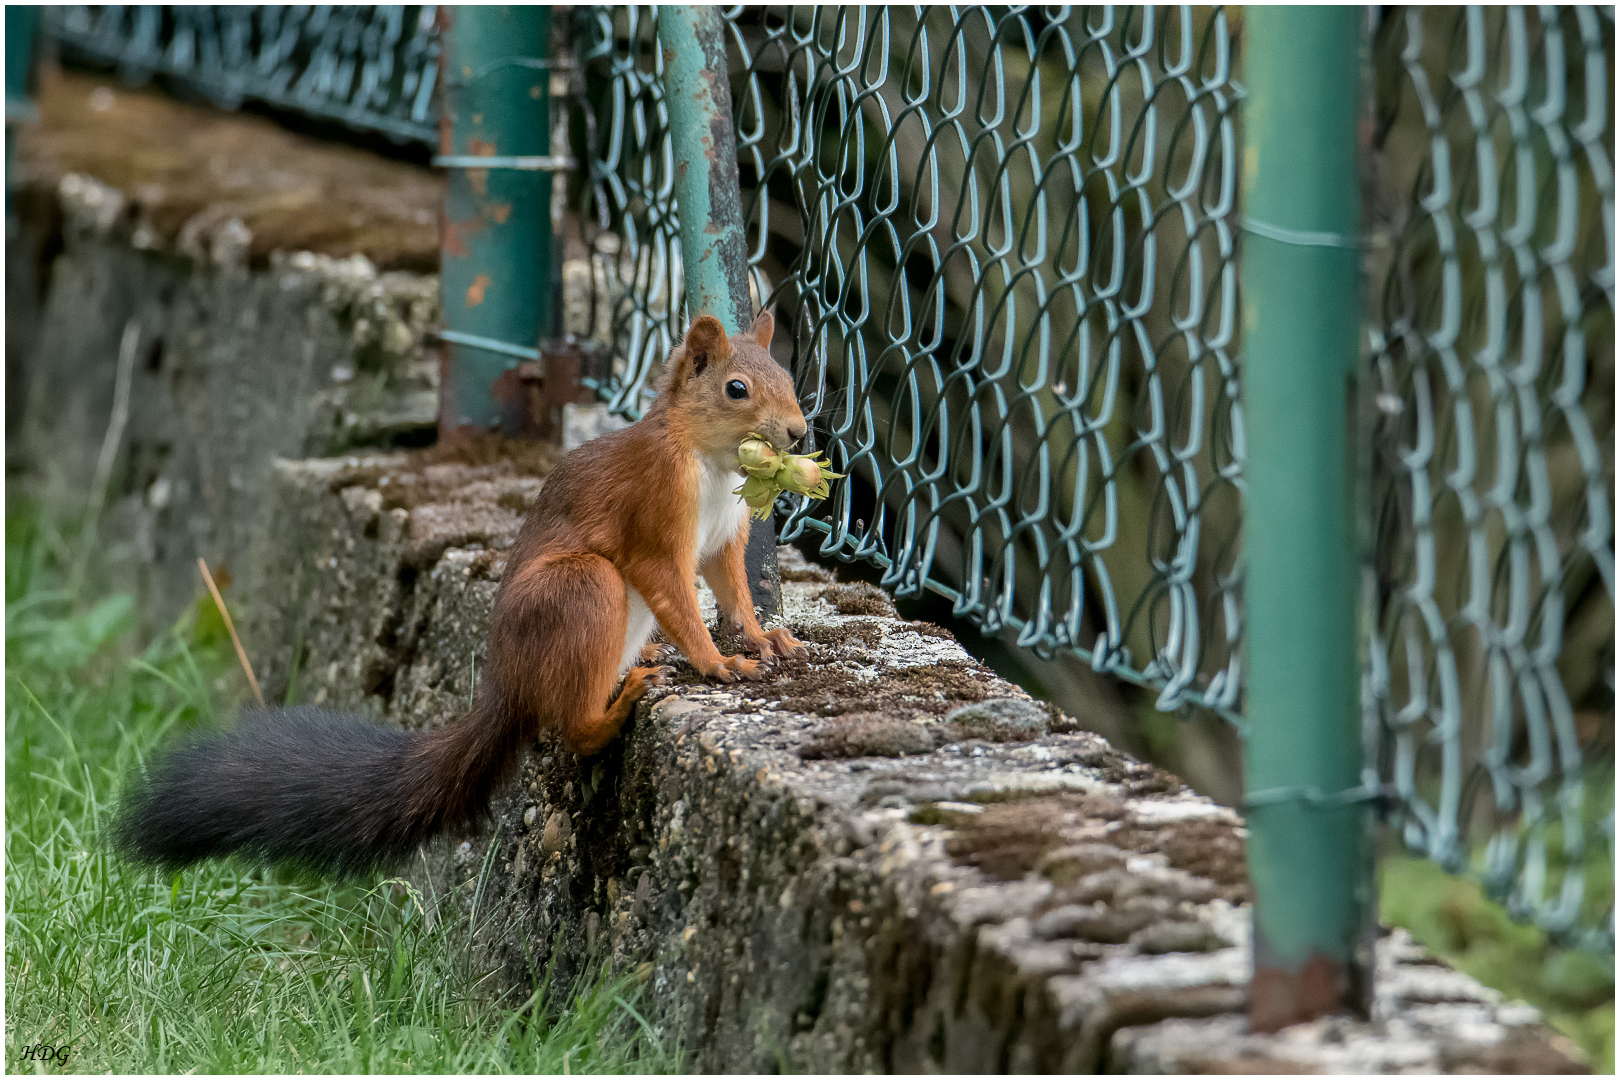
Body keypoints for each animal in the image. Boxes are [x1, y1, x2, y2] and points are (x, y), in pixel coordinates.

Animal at [117, 307, 810, 874]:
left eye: (787, 373)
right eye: (737, 388)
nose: (800, 434)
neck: (712, 464)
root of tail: (507, 685)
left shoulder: (724, 536)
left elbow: (734, 590)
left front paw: (765, 638)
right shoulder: (656, 514)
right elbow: (677, 596)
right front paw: (717, 662)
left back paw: (638, 659)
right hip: (582, 588)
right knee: (574, 727)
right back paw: (617, 705)